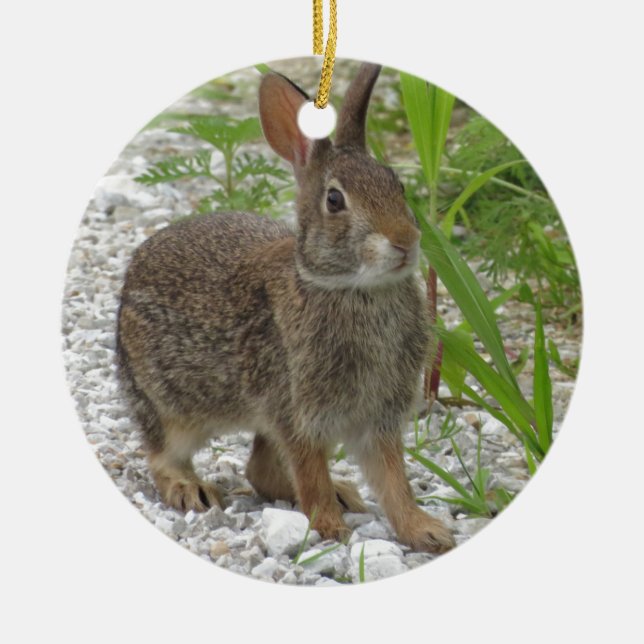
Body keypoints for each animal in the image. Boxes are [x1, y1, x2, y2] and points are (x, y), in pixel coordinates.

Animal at [116, 62, 454, 554]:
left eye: (399, 185)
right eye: (335, 200)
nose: (405, 242)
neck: (351, 287)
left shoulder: (378, 416)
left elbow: (394, 481)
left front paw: (425, 531)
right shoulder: (299, 413)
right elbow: (311, 472)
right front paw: (330, 529)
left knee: (260, 470)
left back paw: (342, 491)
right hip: (169, 406)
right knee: (163, 456)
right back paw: (192, 489)